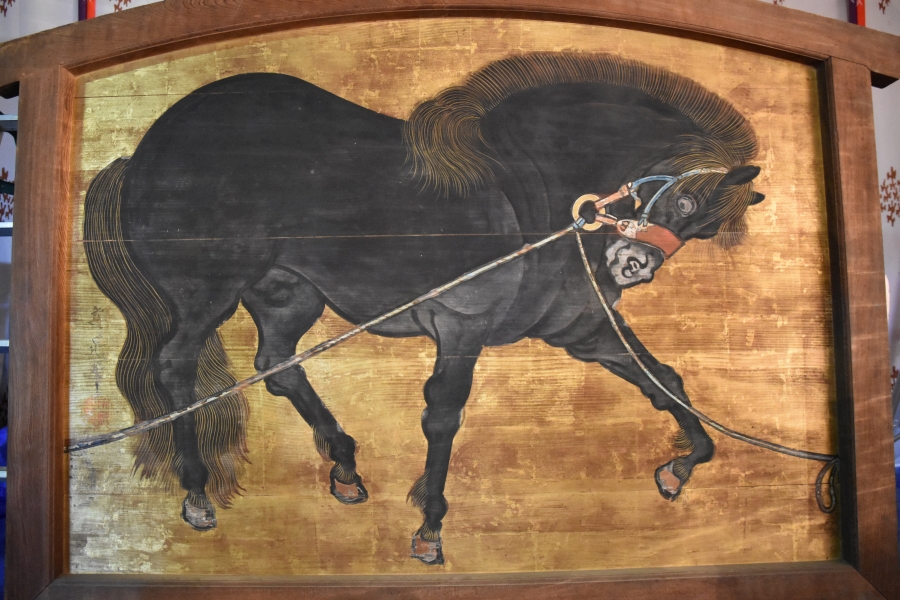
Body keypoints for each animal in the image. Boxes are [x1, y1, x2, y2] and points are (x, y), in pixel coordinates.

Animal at [83, 52, 765, 565]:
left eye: (705, 228)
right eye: (685, 201)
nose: (634, 268)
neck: (534, 189)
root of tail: (141, 153)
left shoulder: (586, 330)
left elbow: (664, 380)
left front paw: (681, 466)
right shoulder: (461, 325)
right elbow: (443, 417)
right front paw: (430, 530)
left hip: (288, 293)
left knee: (276, 364)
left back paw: (345, 466)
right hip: (210, 293)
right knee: (175, 367)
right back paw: (197, 494)